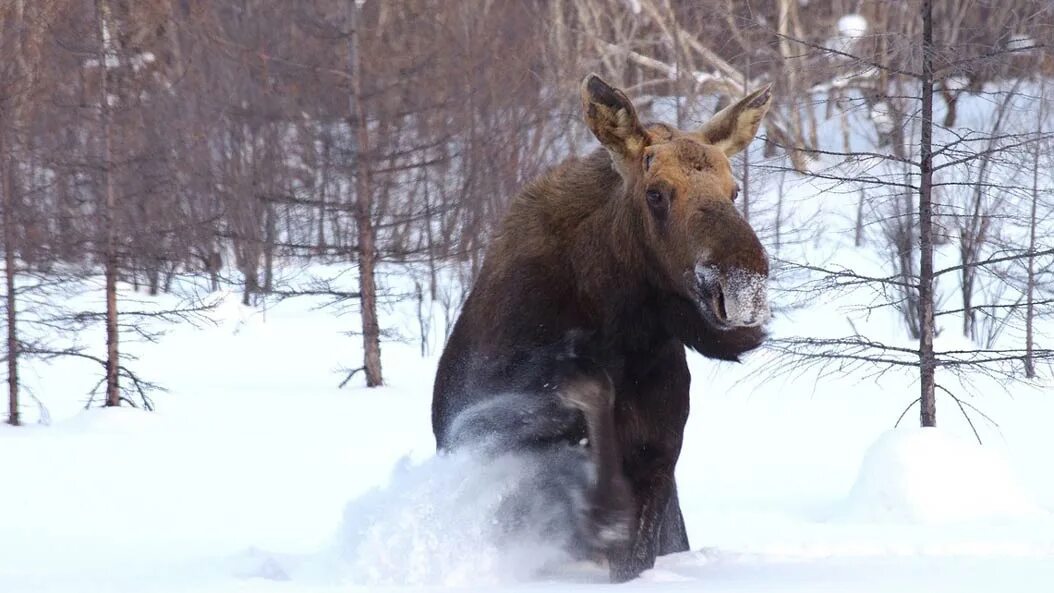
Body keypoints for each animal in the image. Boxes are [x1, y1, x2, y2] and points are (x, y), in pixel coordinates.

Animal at [430, 75, 775, 585]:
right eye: (656, 193)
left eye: (733, 191)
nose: (742, 287)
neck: (619, 329)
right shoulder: (477, 428)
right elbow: (587, 386)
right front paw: (605, 510)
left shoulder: (660, 459)